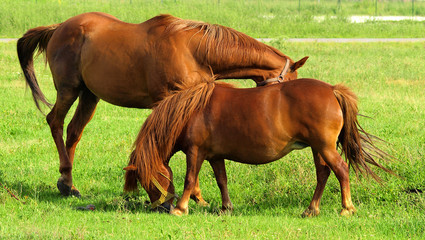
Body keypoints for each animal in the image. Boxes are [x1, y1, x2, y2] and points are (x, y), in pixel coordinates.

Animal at [17, 11, 308, 197]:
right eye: (288, 81)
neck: (195, 51)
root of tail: (58, 28)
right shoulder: (166, 102)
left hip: (90, 96)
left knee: (74, 132)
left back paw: (68, 183)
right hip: (69, 90)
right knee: (55, 122)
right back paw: (66, 179)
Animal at [124, 78, 392, 216]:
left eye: (148, 182)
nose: (161, 207)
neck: (191, 111)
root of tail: (331, 90)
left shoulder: (195, 152)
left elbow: (190, 179)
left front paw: (181, 208)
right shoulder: (215, 156)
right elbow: (222, 180)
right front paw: (226, 207)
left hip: (324, 147)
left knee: (341, 171)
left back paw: (346, 208)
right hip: (318, 149)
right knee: (324, 174)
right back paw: (311, 209)